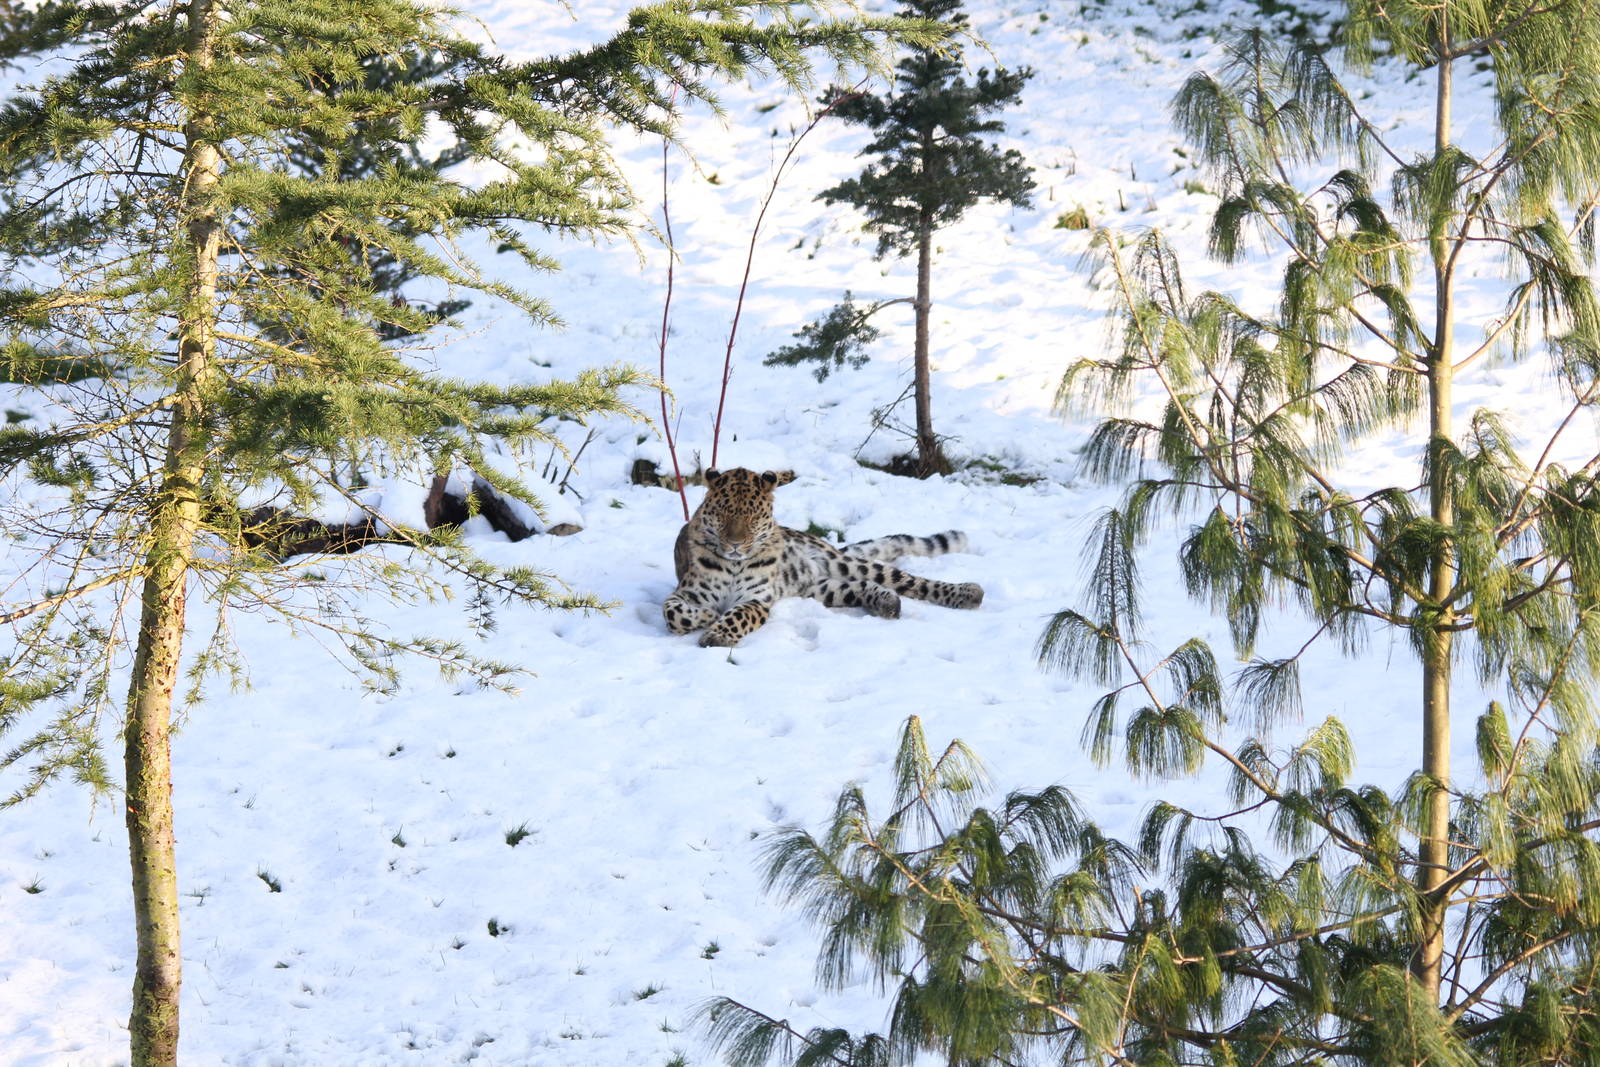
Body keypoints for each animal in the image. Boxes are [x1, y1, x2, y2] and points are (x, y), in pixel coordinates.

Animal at [662, 467, 983, 647]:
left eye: (752, 517)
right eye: (722, 513)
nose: (736, 544)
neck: (734, 564)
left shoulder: (757, 598)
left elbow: (739, 614)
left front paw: (717, 634)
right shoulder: (685, 593)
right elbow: (672, 613)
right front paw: (706, 616)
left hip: (842, 564)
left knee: (911, 580)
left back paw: (969, 592)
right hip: (819, 588)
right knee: (863, 588)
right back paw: (887, 602)